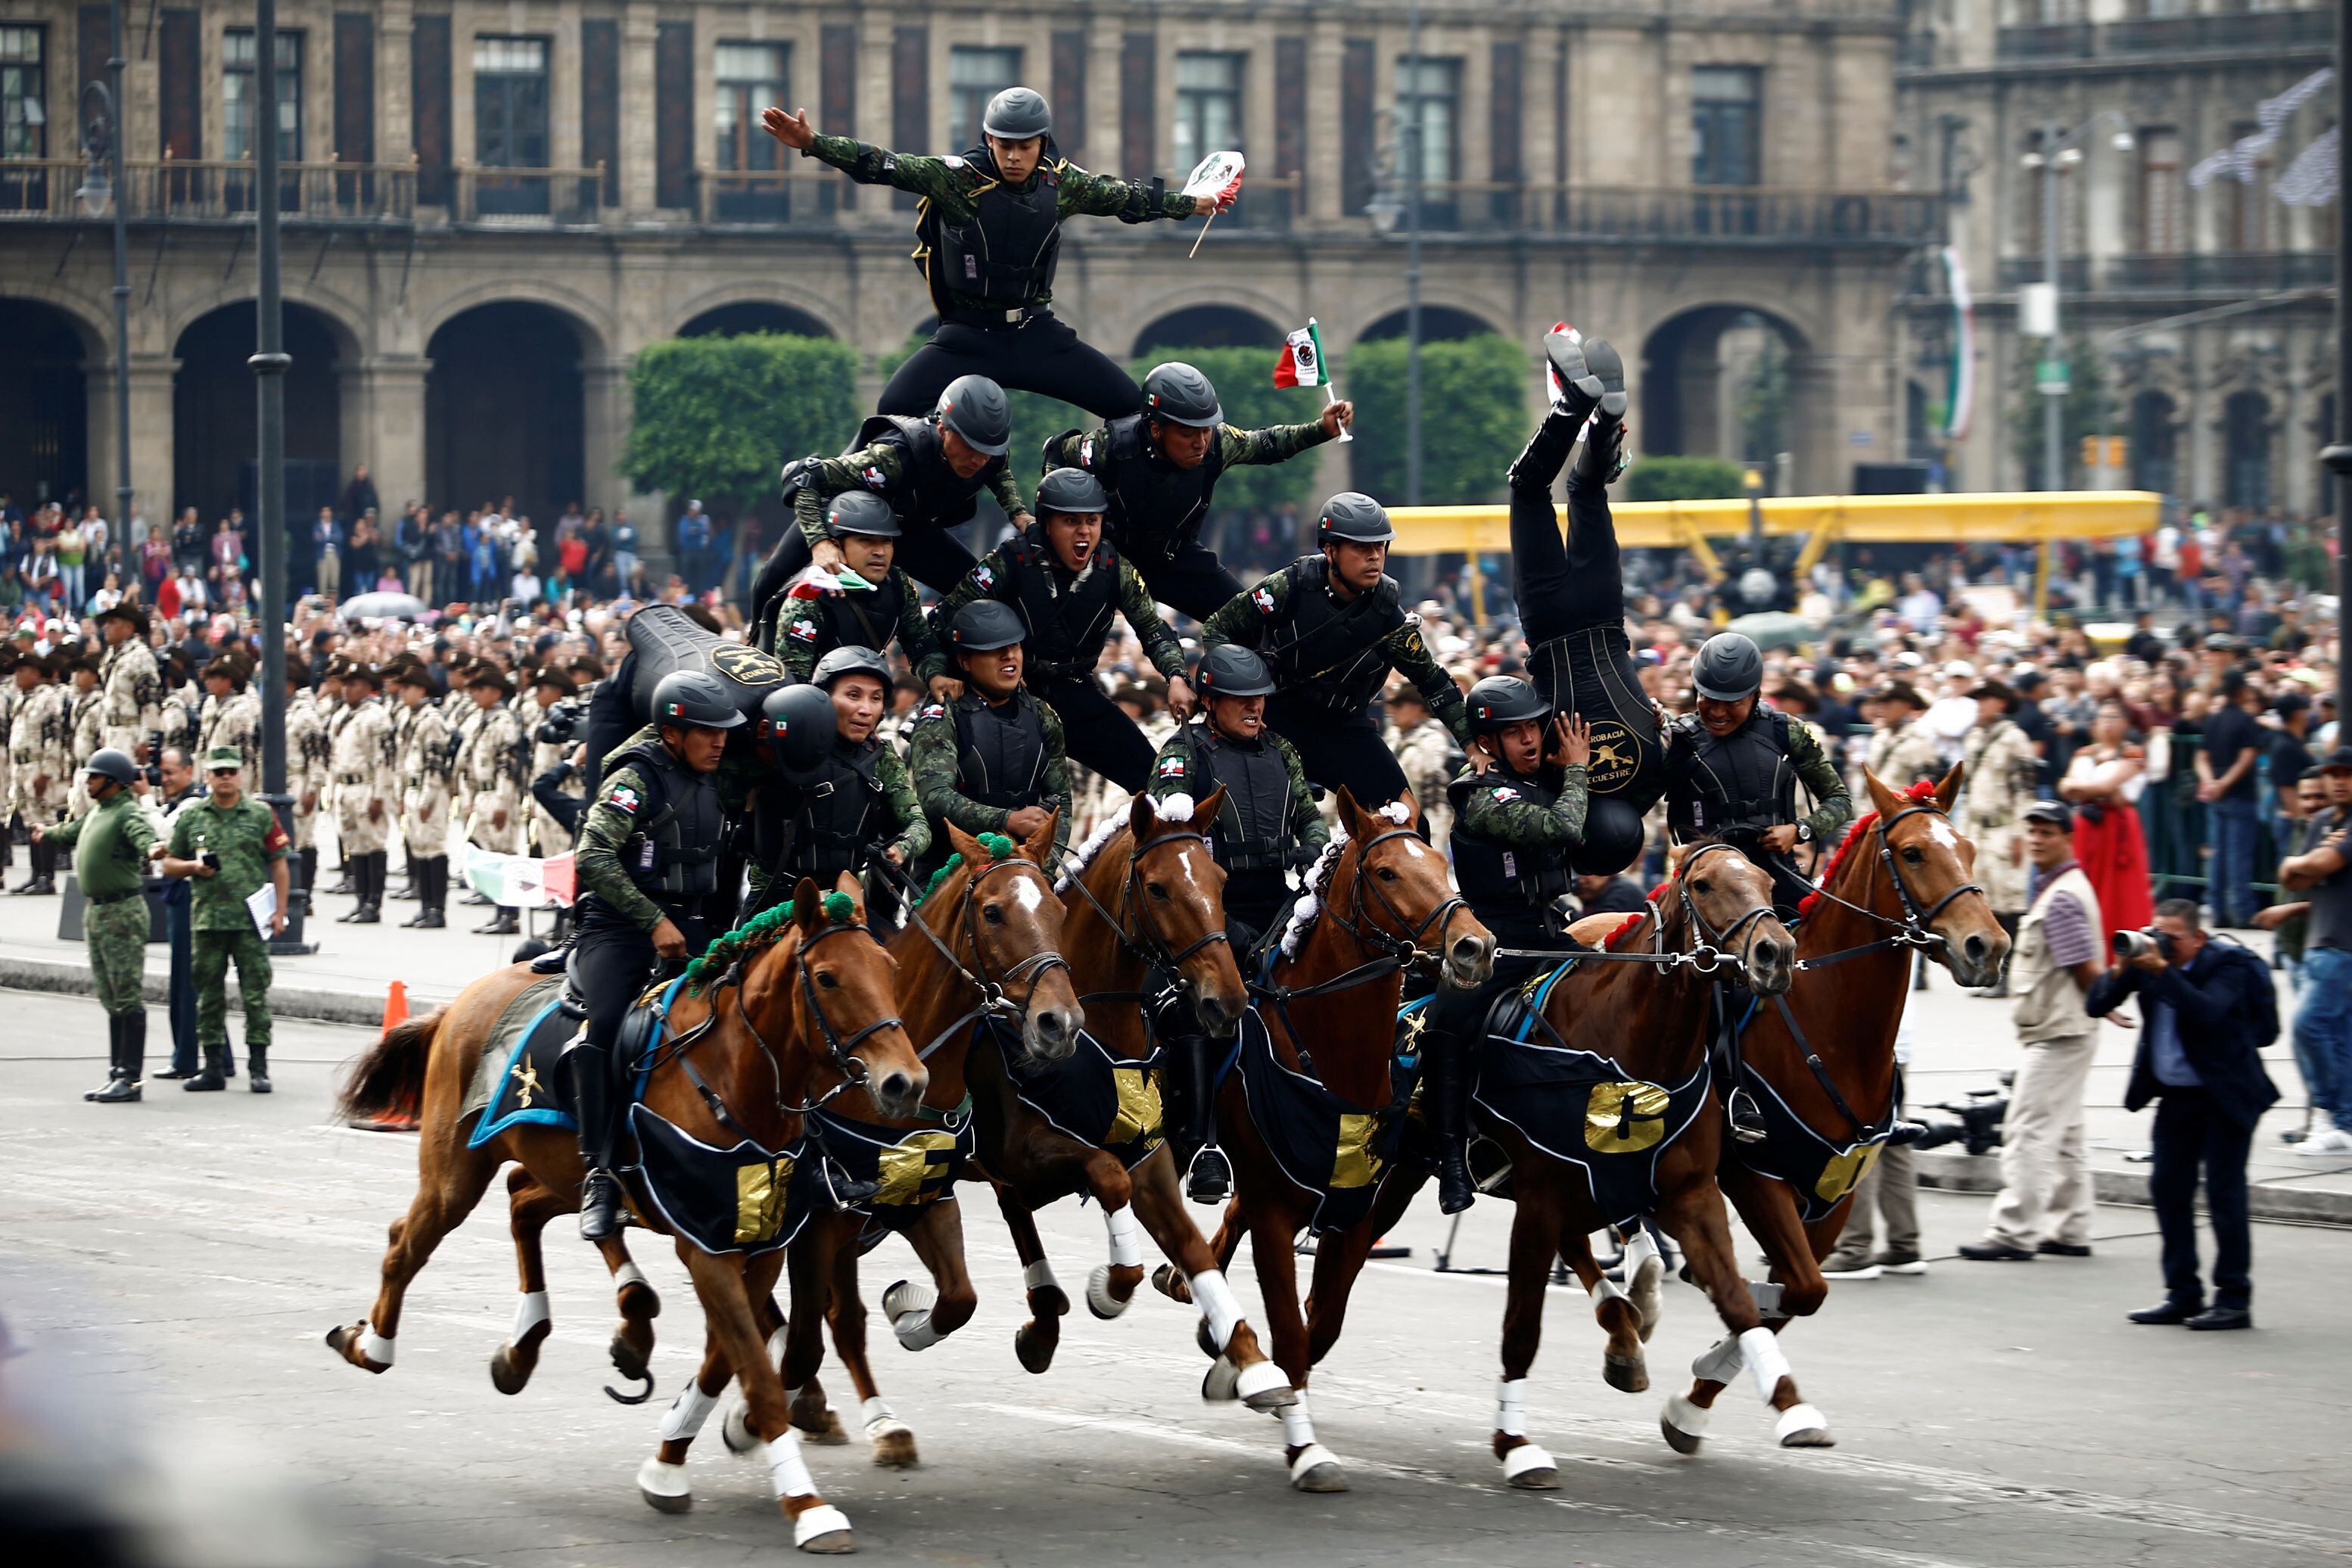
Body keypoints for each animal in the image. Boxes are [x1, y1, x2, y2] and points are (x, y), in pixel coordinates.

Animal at [331, 879, 917, 1551]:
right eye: (826, 977)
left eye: (890, 968)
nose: (905, 1081)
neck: (733, 1076)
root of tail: (460, 1004)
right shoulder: (707, 1248)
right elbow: (756, 1370)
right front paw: (807, 1505)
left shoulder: (761, 1242)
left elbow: (733, 1359)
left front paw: (673, 1460)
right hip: (455, 1172)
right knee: (408, 1242)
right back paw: (373, 1344)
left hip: (560, 1170)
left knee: (528, 1203)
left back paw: (546, 1340)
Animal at [973, 789, 1289, 1420]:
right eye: (1159, 888)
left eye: (1218, 879)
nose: (1229, 1000)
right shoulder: (1021, 1159)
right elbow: (1072, 1198)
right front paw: (1100, 1293)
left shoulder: (1148, 1160)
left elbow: (1190, 1246)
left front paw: (1251, 1363)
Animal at [1185, 789, 1495, 1495]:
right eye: (1386, 873)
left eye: (1441, 862)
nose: (1475, 947)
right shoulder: (1277, 1213)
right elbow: (1294, 1332)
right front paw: (1305, 1450)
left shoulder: (1355, 1212)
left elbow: (1319, 1323)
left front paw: (1245, 1369)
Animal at [1656, 766, 2004, 1457]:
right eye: (1914, 853)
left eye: (1970, 848)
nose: (1990, 945)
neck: (1833, 1028)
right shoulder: (1756, 1176)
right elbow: (1793, 1289)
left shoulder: (1833, 1189)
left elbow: (1799, 1294)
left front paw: (1695, 1400)